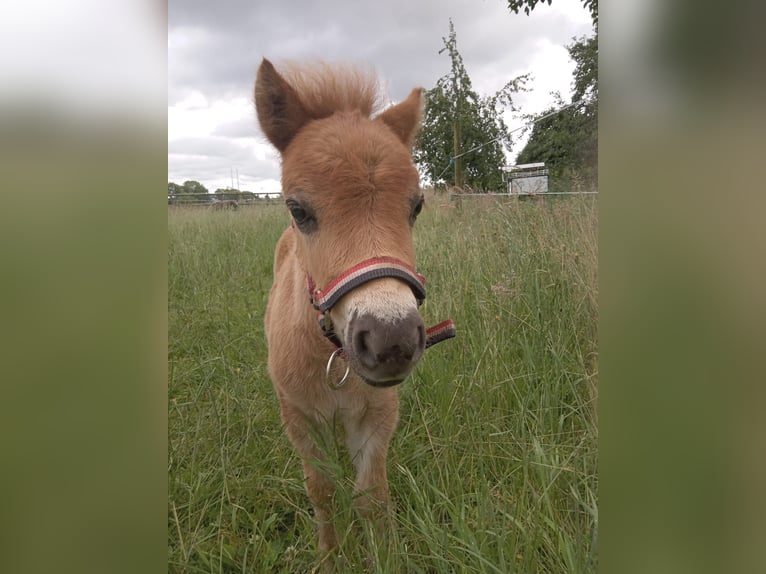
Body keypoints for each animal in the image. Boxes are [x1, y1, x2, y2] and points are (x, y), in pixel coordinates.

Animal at [255, 59, 452, 560]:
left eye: (416, 206)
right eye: (298, 210)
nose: (391, 340)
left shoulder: (379, 414)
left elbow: (372, 496)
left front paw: (385, 558)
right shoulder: (299, 416)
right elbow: (321, 490)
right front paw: (329, 557)